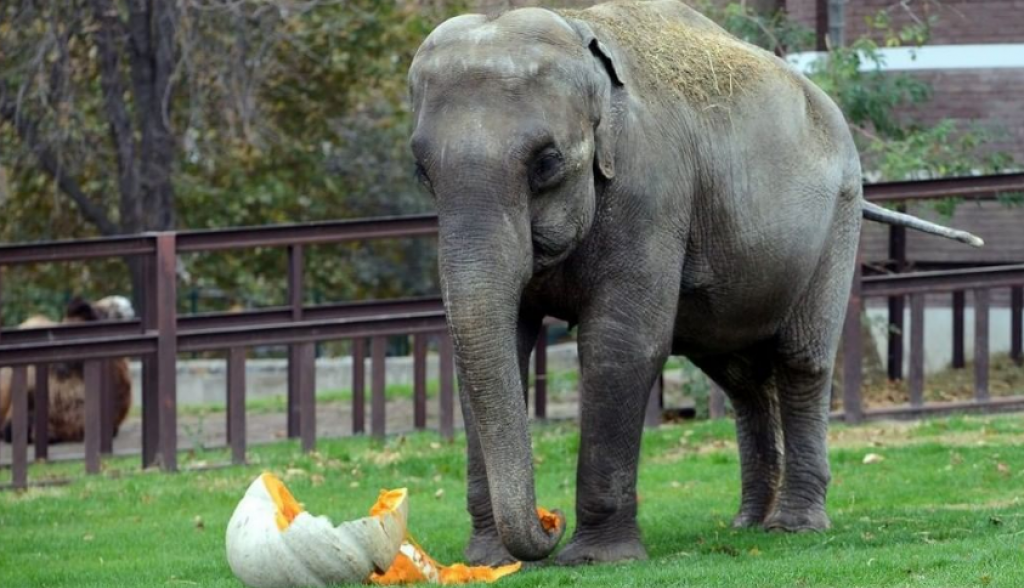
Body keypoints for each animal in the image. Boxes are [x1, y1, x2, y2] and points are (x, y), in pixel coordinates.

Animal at [405, 0, 983, 573]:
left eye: (546, 162)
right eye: (421, 173)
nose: (551, 522)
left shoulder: (651, 192)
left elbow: (621, 344)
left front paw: (596, 559)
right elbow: (496, 347)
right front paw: (489, 560)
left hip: (838, 219)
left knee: (801, 361)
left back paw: (793, 525)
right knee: (740, 378)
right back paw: (747, 522)